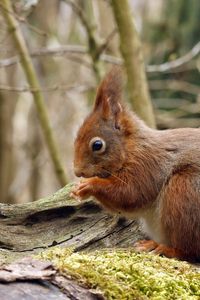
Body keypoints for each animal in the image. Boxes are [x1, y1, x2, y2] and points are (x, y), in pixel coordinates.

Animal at [72, 67, 200, 262]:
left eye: (97, 145)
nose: (77, 171)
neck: (131, 148)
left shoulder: (147, 164)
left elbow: (131, 193)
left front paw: (89, 185)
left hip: (185, 192)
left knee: (189, 250)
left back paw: (166, 249)